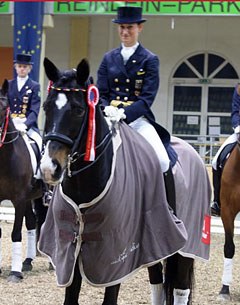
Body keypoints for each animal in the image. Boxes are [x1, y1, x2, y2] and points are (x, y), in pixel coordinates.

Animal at [38, 57, 211, 304]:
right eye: (46, 107)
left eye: (79, 110)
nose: (49, 168)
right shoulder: (70, 254)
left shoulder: (115, 259)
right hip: (155, 244)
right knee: (158, 284)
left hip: (189, 244)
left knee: (181, 288)